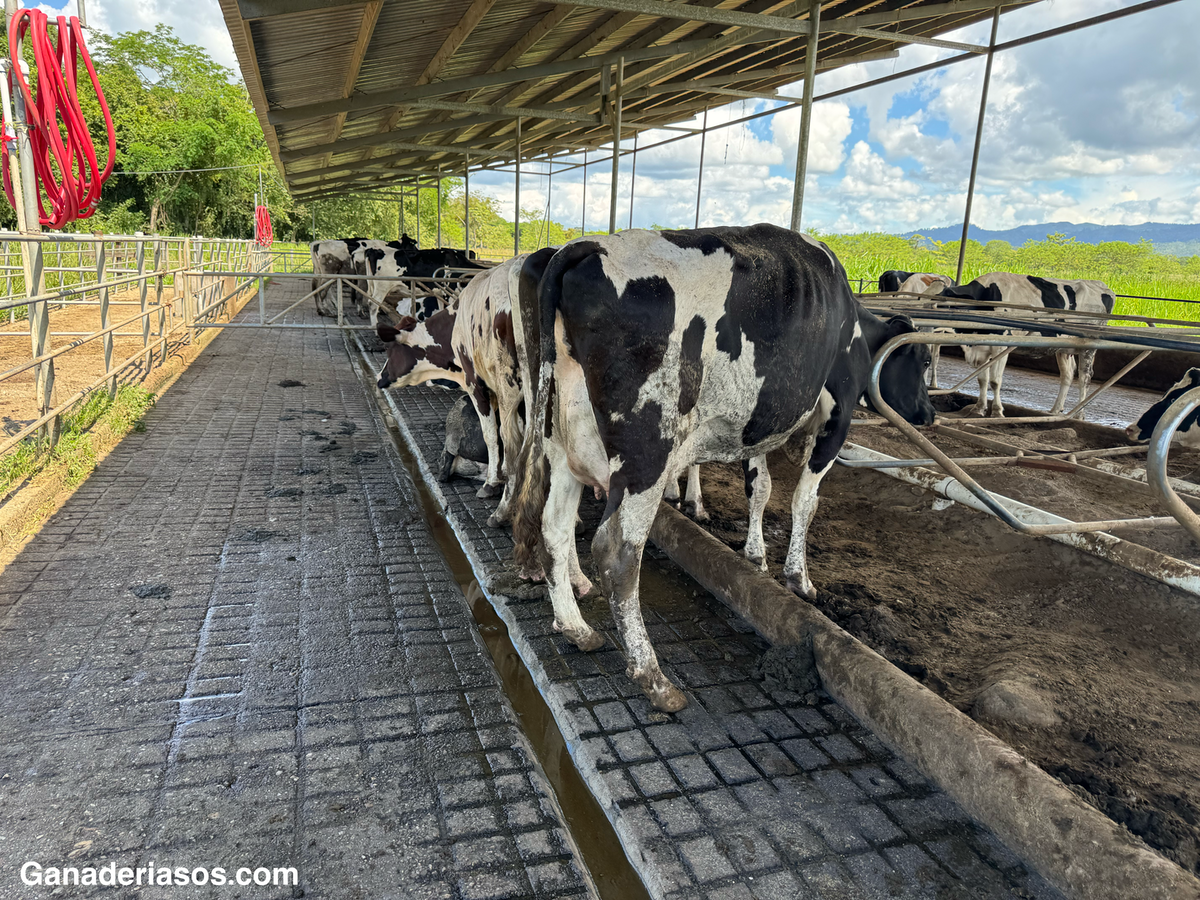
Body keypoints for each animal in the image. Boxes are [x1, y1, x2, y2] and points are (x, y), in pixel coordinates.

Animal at [510, 225, 935, 711]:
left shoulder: (756, 425)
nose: (928, 414)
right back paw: (653, 678)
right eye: (923, 361)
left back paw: (576, 628)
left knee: (554, 529)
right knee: (617, 552)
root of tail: (584, 246)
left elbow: (761, 487)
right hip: (646, 452)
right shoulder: (836, 416)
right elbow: (805, 502)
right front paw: (799, 579)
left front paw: (756, 555)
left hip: (561, 442)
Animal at [935, 272, 1116, 418]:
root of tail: (1103, 286)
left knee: (1085, 377)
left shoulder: (1001, 345)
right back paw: (1055, 410)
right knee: (1068, 373)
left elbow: (995, 381)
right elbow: (982, 379)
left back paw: (1079, 414)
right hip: (1064, 347)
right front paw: (979, 409)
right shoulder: (981, 346)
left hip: (1088, 347)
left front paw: (997, 412)